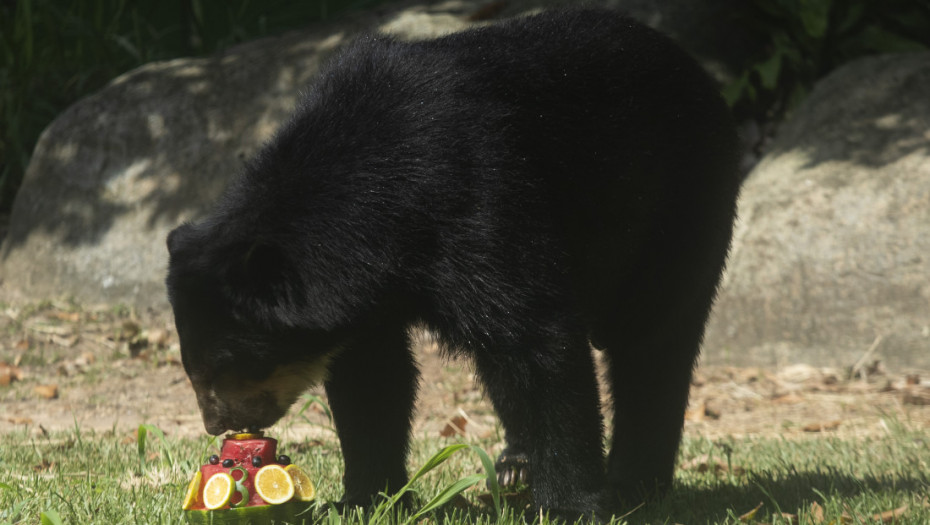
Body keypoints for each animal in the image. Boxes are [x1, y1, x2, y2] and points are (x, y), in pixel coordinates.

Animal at [165, 7, 740, 520]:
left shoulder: (481, 196)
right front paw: (364, 499)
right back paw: (516, 465)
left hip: (680, 202)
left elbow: (537, 337)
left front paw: (569, 506)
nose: (220, 425)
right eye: (194, 368)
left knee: (653, 341)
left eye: (229, 365)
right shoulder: (366, 290)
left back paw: (634, 483)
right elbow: (373, 375)